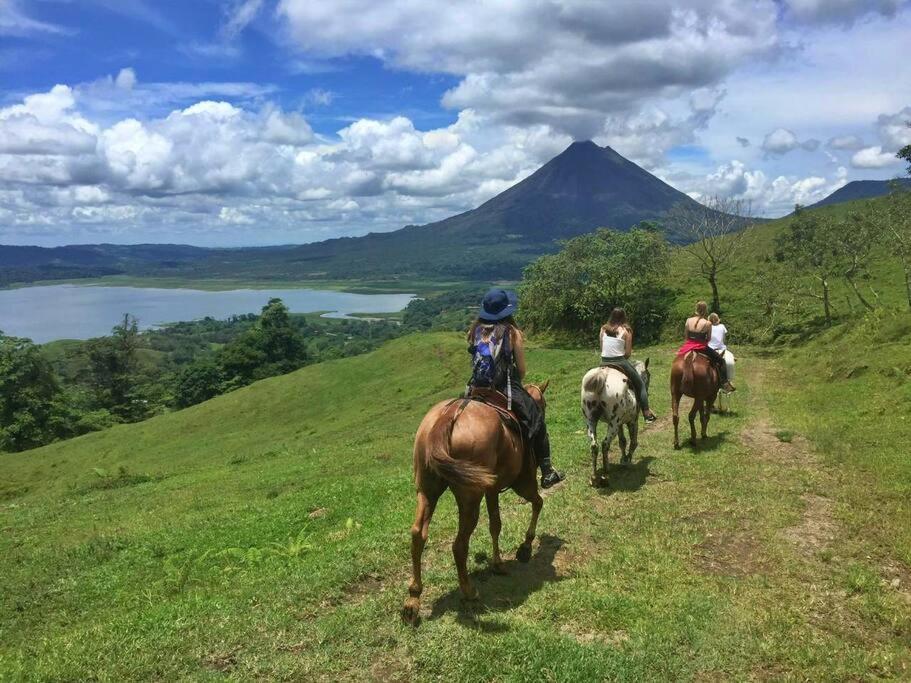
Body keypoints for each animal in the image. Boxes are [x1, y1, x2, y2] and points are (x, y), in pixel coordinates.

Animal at [400, 382, 548, 628]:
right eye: (543, 404)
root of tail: (448, 416)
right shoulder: (522, 483)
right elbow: (537, 503)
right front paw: (525, 548)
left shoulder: (492, 489)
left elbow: (495, 524)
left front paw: (498, 563)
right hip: (470, 498)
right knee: (459, 545)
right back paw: (469, 592)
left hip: (427, 491)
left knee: (418, 535)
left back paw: (412, 601)